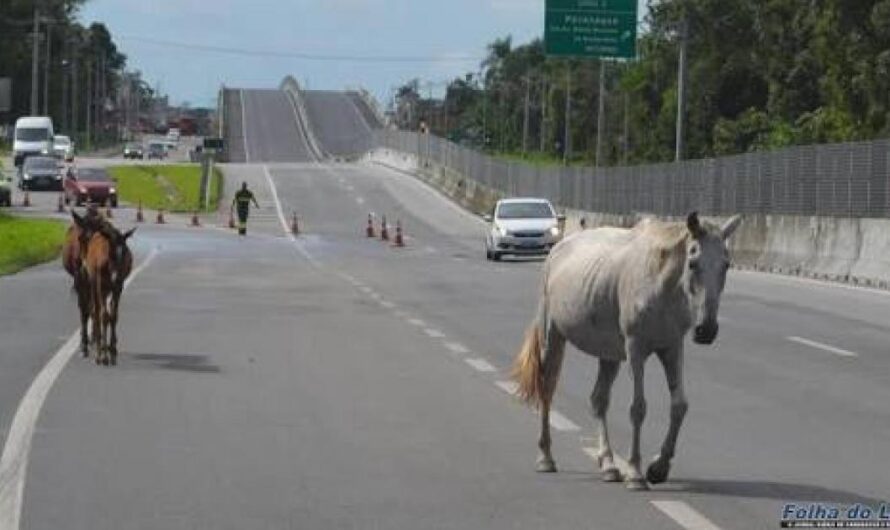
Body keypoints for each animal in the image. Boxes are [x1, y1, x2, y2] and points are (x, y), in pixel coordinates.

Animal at [84, 222, 136, 364]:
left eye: (124, 253)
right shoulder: (101, 286)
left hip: (109, 289)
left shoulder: (118, 287)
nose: (115, 277)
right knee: (96, 311)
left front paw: (112, 351)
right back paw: (99, 350)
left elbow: (114, 315)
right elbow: (104, 315)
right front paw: (103, 355)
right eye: (110, 252)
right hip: (94, 284)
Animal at [510, 210, 740, 486]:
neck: (659, 283)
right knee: (546, 389)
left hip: (608, 354)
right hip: (552, 334)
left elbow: (679, 405)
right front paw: (635, 471)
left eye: (726, 264)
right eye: (693, 263)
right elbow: (638, 408)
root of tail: (557, 250)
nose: (706, 329)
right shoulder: (635, 349)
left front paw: (659, 467)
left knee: (598, 400)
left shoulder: (672, 347)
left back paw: (608, 464)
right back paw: (546, 457)